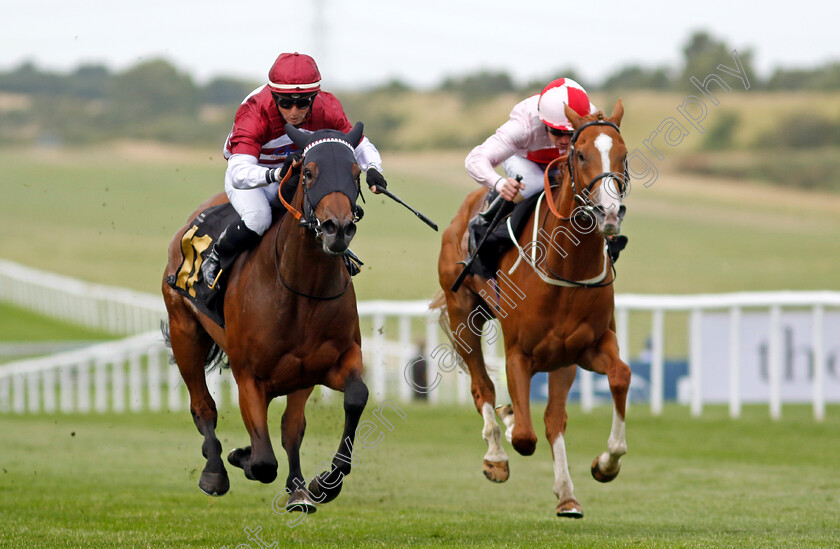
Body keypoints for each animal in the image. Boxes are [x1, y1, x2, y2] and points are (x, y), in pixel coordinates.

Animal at [162, 123, 370, 510]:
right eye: (308, 172)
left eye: (356, 173)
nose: (337, 228)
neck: (301, 290)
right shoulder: (249, 377)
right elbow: (262, 461)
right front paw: (241, 456)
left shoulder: (325, 365)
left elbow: (352, 399)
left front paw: (320, 484)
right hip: (184, 332)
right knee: (203, 406)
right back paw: (214, 471)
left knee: (290, 427)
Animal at [440, 99, 632, 520]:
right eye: (580, 154)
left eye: (624, 155)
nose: (609, 214)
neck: (567, 267)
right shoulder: (519, 354)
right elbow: (524, 436)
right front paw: (511, 424)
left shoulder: (587, 348)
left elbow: (620, 377)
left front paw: (607, 463)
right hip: (463, 315)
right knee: (482, 387)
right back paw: (496, 455)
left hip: (561, 358)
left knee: (554, 419)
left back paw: (567, 496)